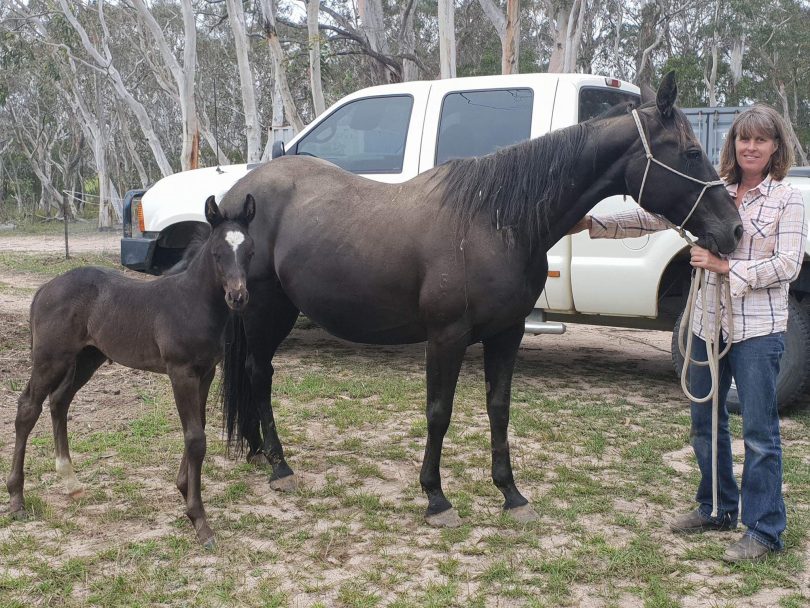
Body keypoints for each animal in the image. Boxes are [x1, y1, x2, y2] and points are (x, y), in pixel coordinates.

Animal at [6, 195, 256, 548]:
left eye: (249, 251)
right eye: (217, 253)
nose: (237, 296)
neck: (193, 303)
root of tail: (44, 288)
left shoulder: (206, 371)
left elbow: (199, 427)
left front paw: (183, 488)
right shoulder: (181, 372)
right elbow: (195, 437)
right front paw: (199, 519)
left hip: (87, 358)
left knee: (60, 401)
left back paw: (70, 481)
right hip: (50, 358)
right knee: (28, 408)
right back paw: (17, 498)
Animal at [219, 72, 740, 528]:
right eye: (692, 152)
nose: (732, 230)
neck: (495, 222)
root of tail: (237, 192)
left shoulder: (506, 335)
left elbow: (499, 408)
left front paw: (511, 494)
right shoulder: (446, 338)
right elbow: (439, 412)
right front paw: (436, 498)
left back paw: (259, 452)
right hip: (265, 310)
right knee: (259, 373)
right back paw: (279, 465)